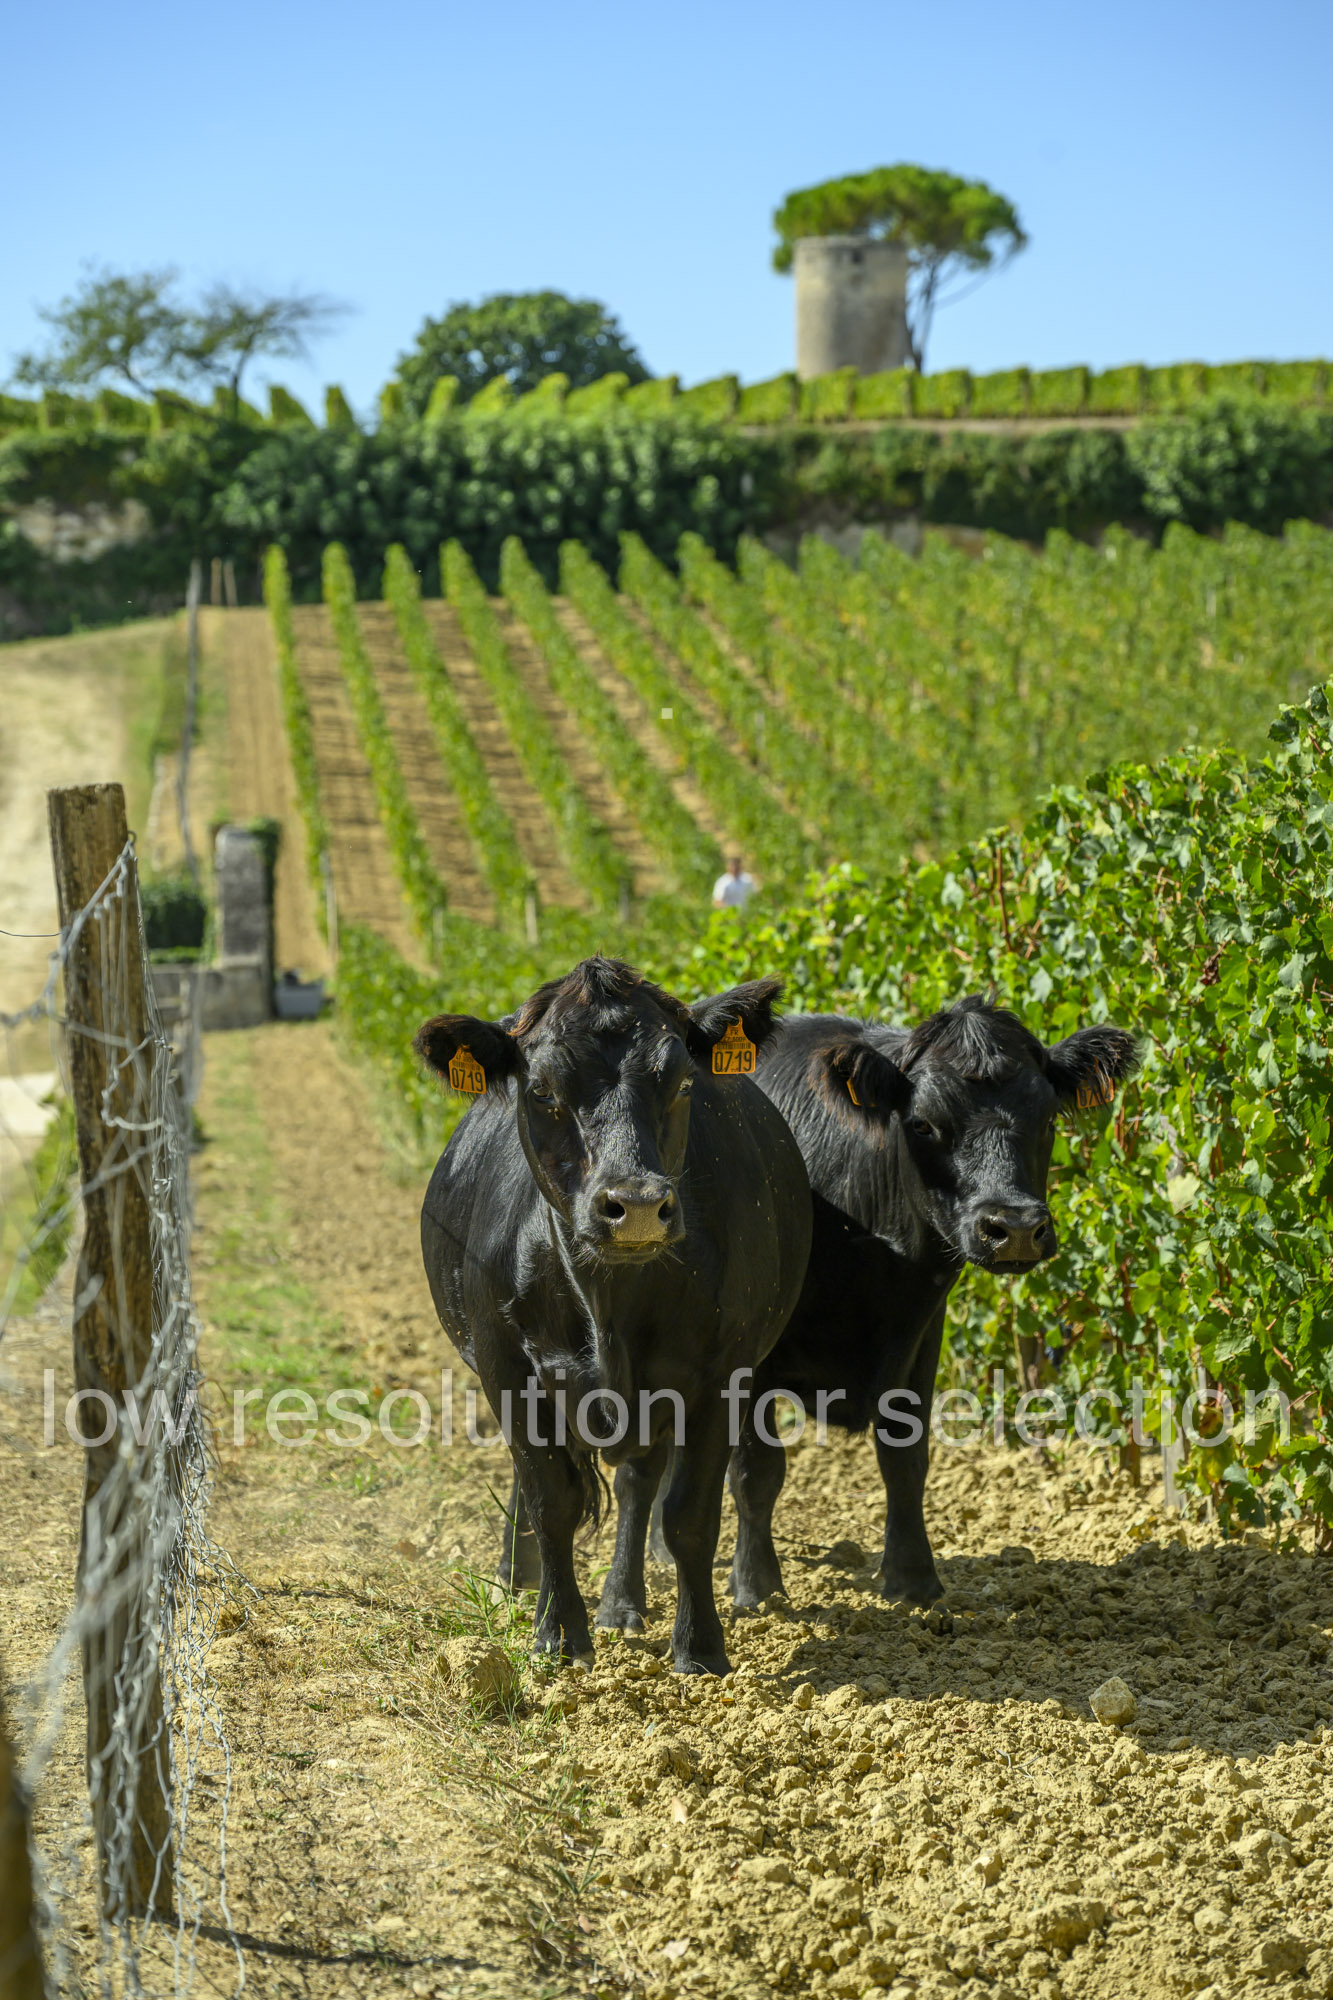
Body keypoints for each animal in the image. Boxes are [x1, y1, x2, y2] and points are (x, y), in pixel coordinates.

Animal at [416, 957, 812, 1675]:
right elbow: (551, 1499)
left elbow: (687, 1515)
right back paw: (520, 1579)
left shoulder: (718, 1375)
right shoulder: (505, 1366)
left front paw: (698, 1647)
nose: (637, 1207)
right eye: (542, 1090)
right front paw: (557, 1634)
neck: (610, 1305)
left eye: (682, 1081)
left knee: (637, 1484)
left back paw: (622, 1603)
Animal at [616, 996, 1137, 1620]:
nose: (1013, 1228)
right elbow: (755, 1471)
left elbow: (906, 1458)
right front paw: (757, 1586)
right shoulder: (749, 1351)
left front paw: (913, 1579)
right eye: (923, 1123)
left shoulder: (920, 1334)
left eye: (1049, 1119)